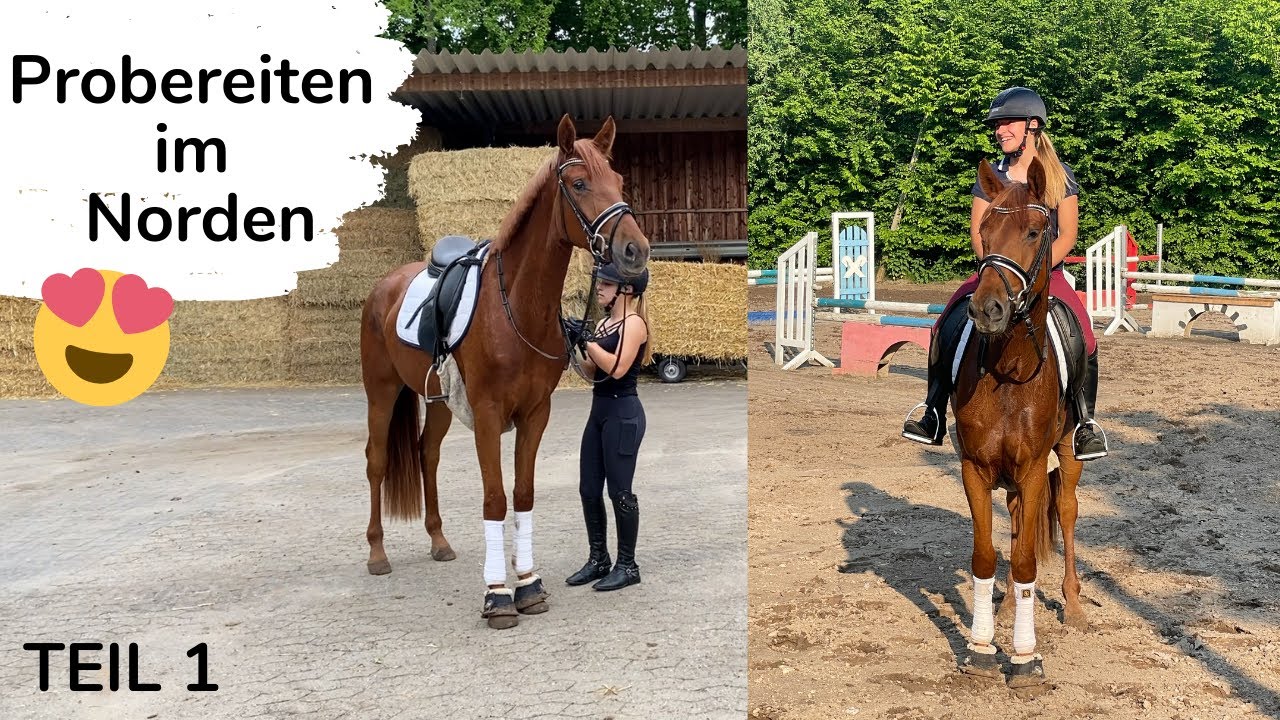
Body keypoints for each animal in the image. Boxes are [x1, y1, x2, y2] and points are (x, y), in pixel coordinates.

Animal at [358, 115, 651, 629]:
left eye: (618, 182)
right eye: (579, 184)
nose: (635, 251)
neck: (516, 308)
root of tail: (384, 286)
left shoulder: (536, 414)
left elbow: (524, 493)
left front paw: (528, 583)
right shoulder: (488, 415)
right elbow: (495, 498)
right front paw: (498, 594)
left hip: (438, 402)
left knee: (426, 455)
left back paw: (439, 541)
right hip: (381, 391)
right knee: (377, 461)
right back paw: (378, 554)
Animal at [951, 157, 1087, 687]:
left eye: (1034, 231)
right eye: (985, 231)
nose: (987, 309)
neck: (1008, 371)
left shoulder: (1031, 469)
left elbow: (1028, 561)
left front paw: (1026, 658)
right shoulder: (974, 468)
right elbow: (987, 555)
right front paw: (982, 647)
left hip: (1068, 452)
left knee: (1066, 511)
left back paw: (1073, 605)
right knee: (1013, 520)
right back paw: (1007, 606)